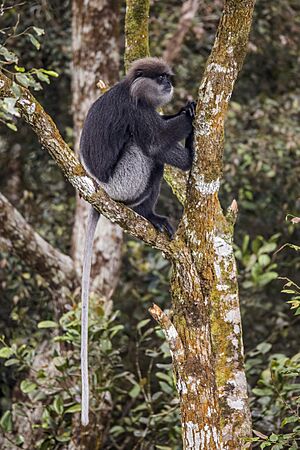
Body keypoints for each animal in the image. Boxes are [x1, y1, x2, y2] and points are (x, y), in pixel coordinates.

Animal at [79, 57, 196, 426]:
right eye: (160, 78)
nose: (169, 85)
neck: (131, 89)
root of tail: (99, 188)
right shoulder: (135, 109)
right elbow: (155, 144)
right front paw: (188, 113)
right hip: (124, 181)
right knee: (145, 150)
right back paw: (188, 159)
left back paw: (150, 215)